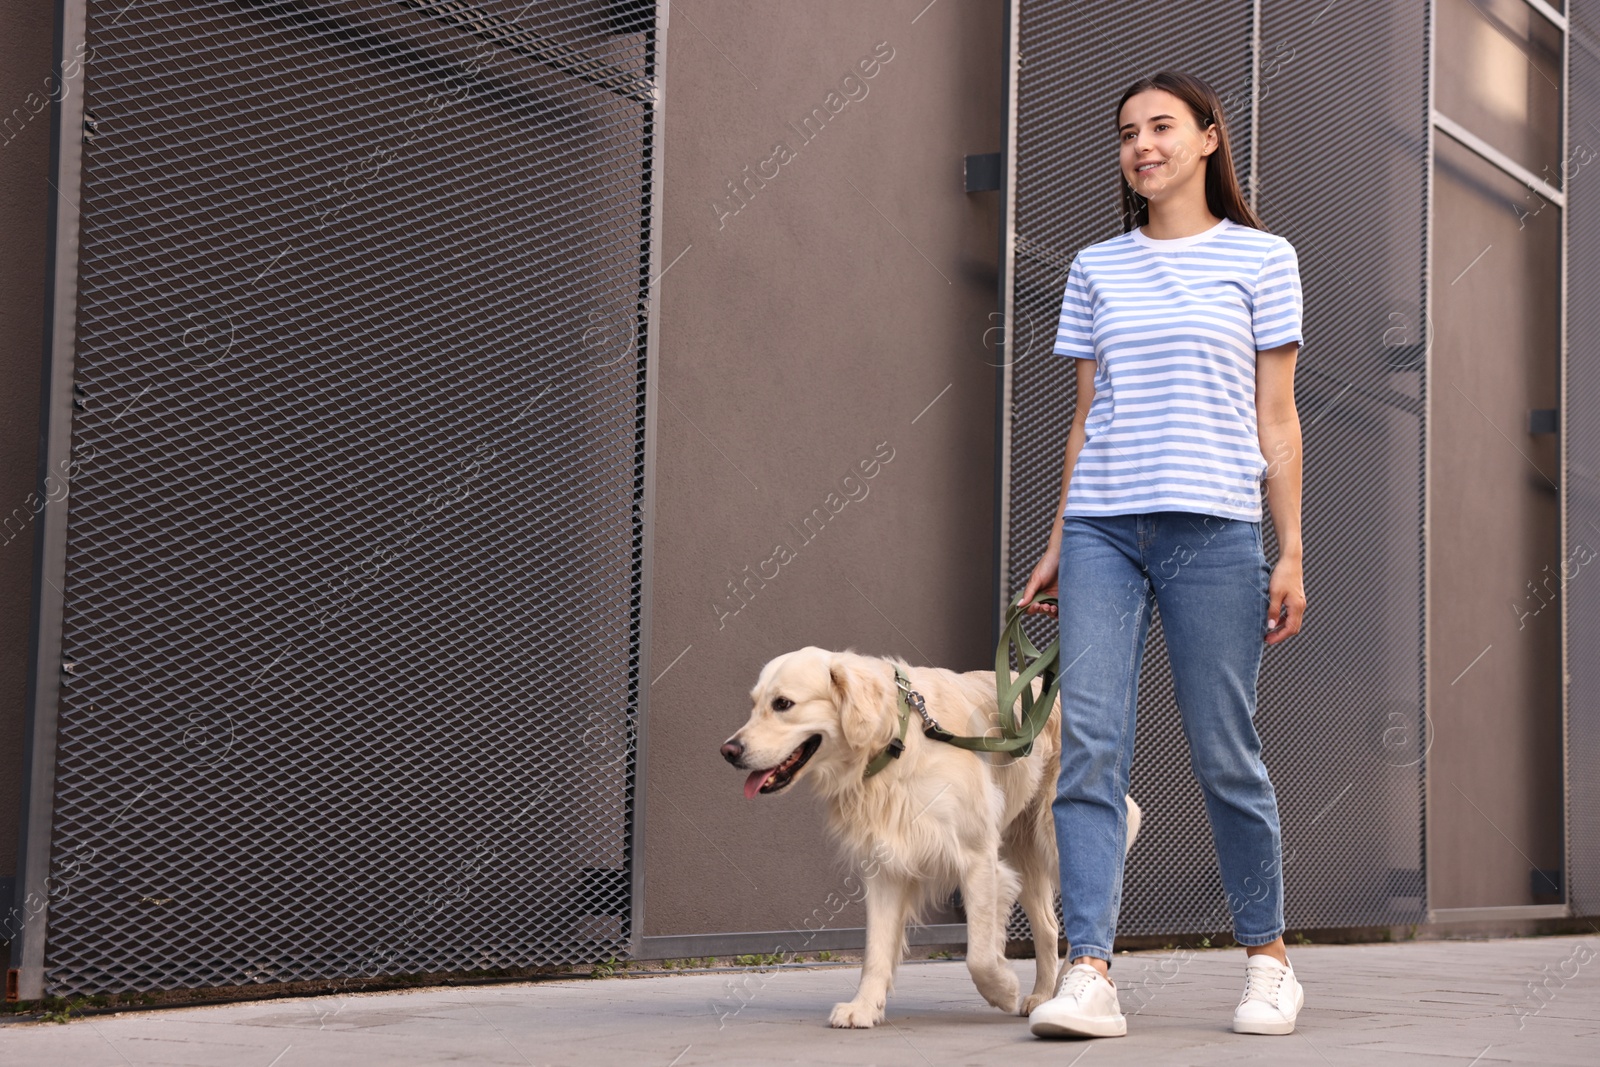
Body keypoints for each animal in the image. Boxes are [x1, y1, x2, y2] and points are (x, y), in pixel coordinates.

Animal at [720, 646, 1145, 1030]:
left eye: (783, 704)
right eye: (755, 704)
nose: (728, 750)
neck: (897, 739)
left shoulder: (977, 857)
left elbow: (978, 954)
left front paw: (1002, 989)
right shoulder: (886, 865)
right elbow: (876, 950)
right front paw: (864, 1007)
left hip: (1055, 832)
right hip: (1022, 847)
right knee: (1047, 924)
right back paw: (1041, 996)